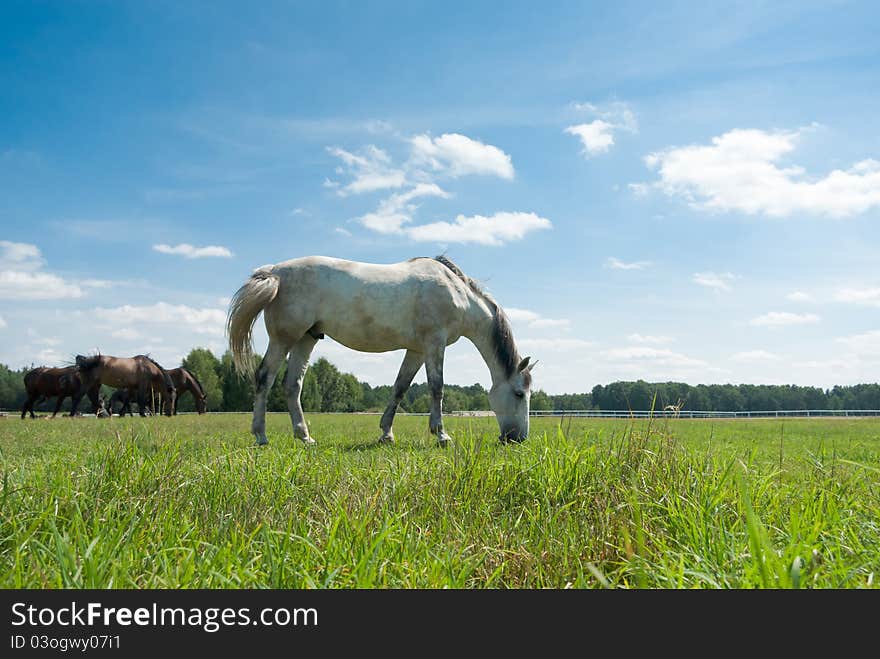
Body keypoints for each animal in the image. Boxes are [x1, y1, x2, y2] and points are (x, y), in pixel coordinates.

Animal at [225, 258, 536, 448]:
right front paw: (441, 435)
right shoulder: (434, 343)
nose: (518, 438)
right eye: (519, 394)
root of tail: (275, 272)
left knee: (293, 385)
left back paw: (305, 437)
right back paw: (261, 436)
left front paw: (386, 433)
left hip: (306, 339)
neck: (457, 293)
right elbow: (437, 388)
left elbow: (400, 388)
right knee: (264, 378)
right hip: (284, 339)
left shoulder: (416, 350)